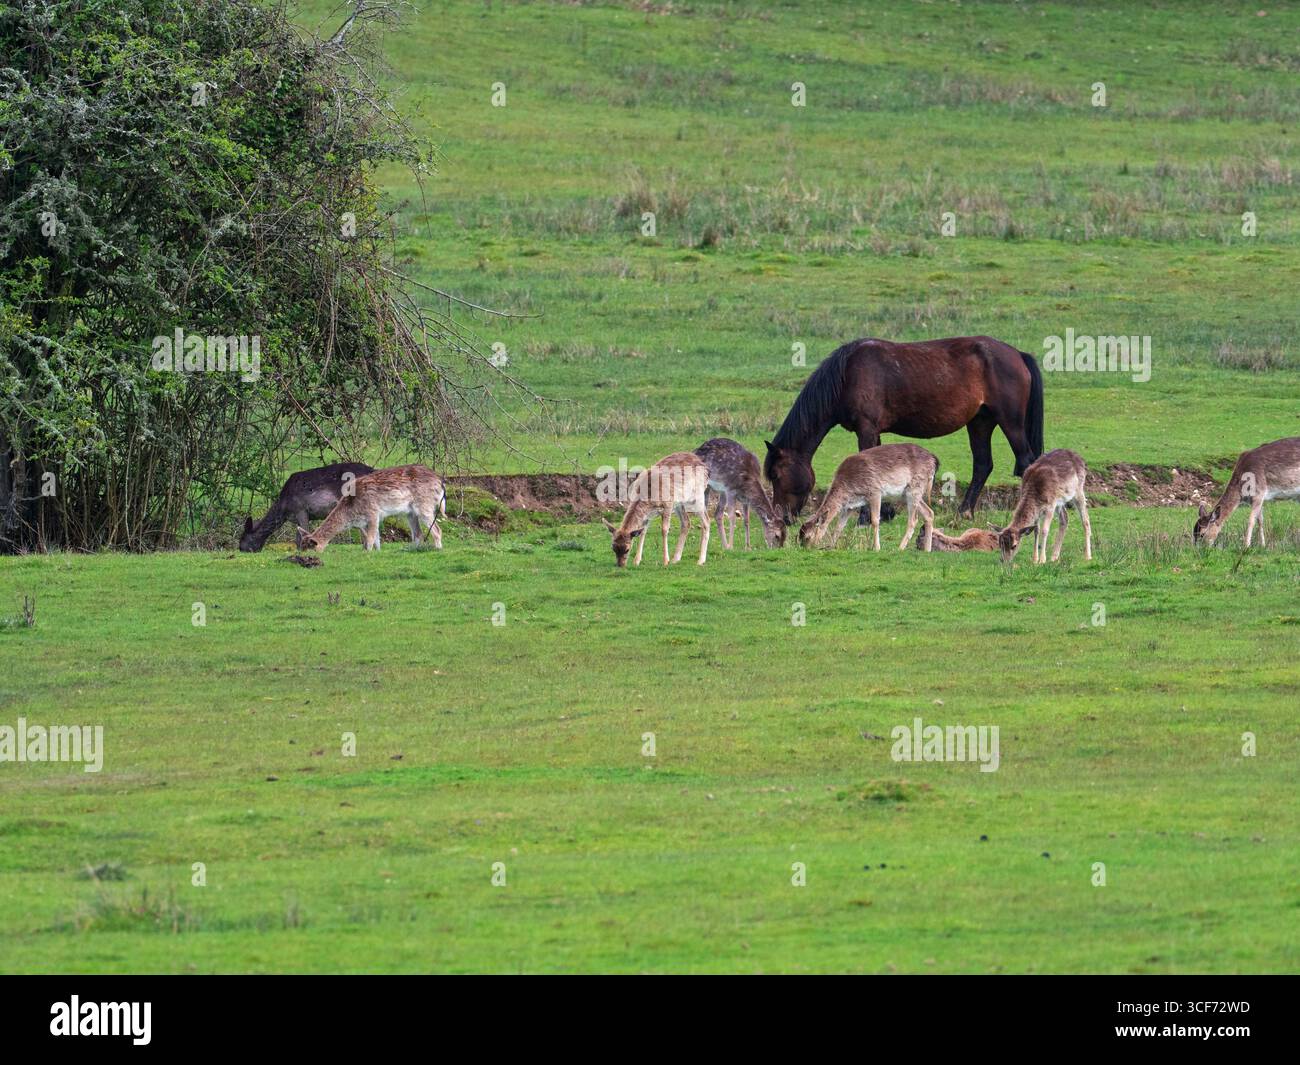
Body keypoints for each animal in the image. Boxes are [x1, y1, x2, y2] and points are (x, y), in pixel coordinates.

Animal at [240, 462, 374, 551]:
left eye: (243, 538)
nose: (240, 549)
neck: (284, 509)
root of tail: (372, 470)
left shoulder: (300, 510)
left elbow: (300, 537)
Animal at [297, 465, 445, 552]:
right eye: (300, 547)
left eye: (309, 549)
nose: (302, 557)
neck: (352, 513)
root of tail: (440, 482)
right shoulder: (365, 522)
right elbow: (375, 540)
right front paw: (377, 552)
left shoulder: (373, 512)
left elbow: (369, 539)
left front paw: (368, 553)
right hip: (410, 513)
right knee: (418, 534)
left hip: (424, 505)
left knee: (437, 529)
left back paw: (438, 549)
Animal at [797, 443, 938, 551]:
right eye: (800, 536)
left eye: (808, 537)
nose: (806, 549)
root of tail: (934, 461)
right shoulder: (850, 506)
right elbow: (839, 526)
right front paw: (831, 546)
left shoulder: (875, 491)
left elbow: (875, 520)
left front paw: (877, 548)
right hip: (906, 494)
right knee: (929, 513)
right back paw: (927, 550)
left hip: (915, 488)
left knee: (913, 519)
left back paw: (900, 548)